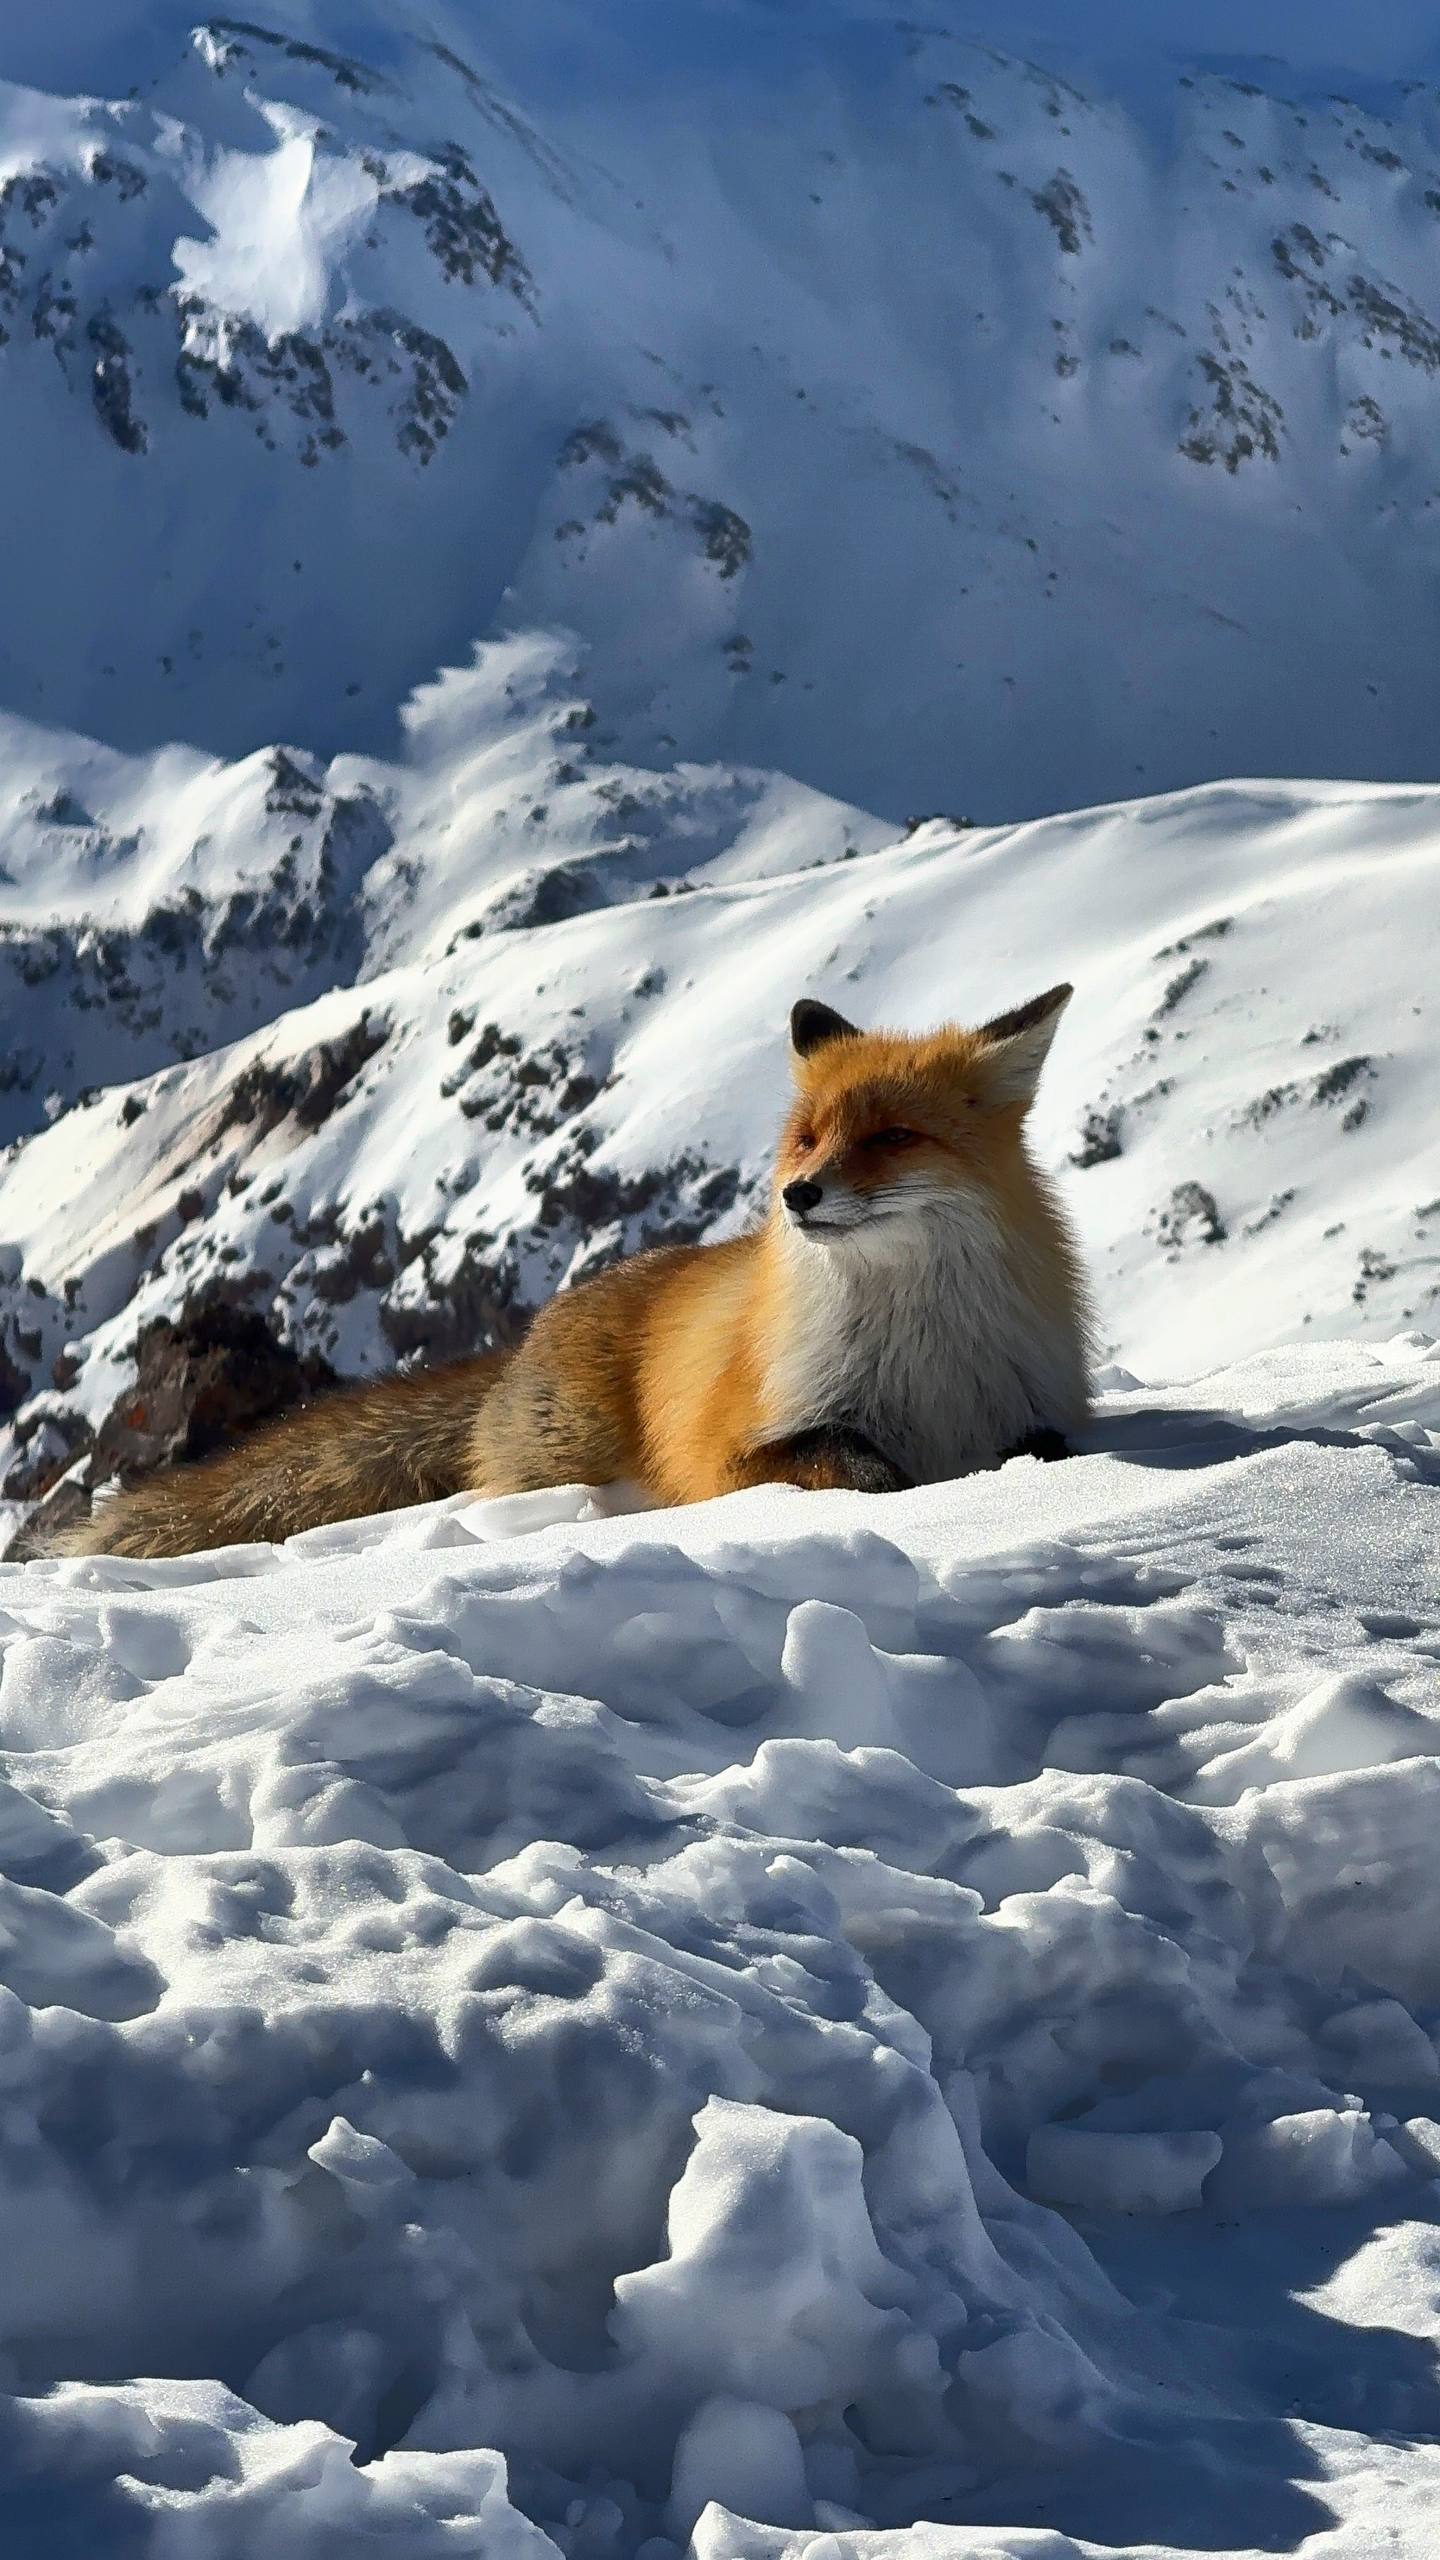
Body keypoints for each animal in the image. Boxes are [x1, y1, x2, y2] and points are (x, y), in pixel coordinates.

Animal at [55, 983, 1090, 1560]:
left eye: (892, 1138)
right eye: (807, 1137)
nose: (798, 1196)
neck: (920, 1352)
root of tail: (528, 1336)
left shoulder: (1029, 1406)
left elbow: (1044, 1451)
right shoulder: (734, 1452)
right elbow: (857, 1464)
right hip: (565, 1456)